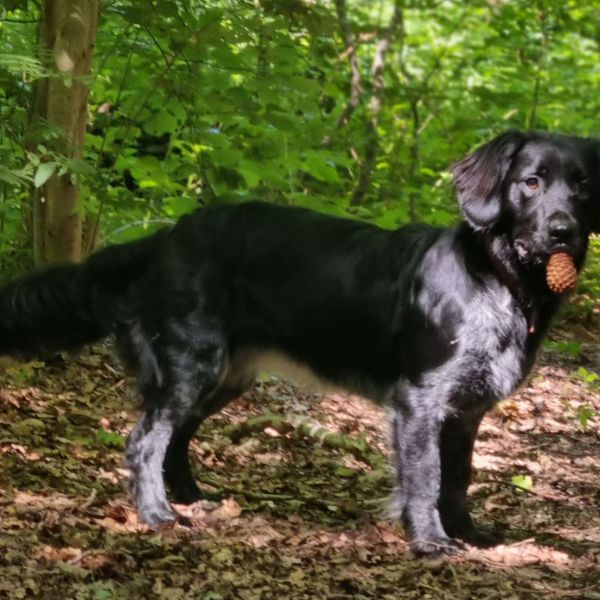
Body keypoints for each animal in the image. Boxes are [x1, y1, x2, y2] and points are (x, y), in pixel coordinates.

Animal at [0, 130, 596, 552]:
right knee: (145, 439)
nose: (564, 231)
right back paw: (157, 514)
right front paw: (429, 542)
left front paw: (468, 534)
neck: (500, 283)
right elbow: (426, 478)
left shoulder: (466, 411)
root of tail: (168, 236)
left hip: (224, 375)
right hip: (190, 363)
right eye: (531, 182)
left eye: (584, 185)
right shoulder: (421, 400)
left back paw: (192, 498)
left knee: (177, 437)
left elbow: (459, 478)